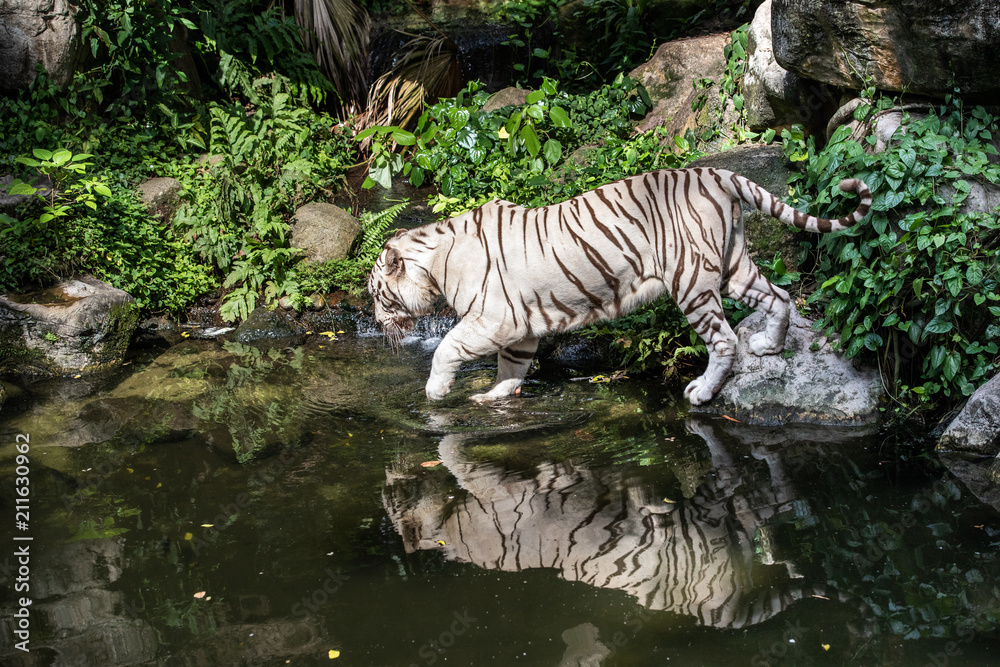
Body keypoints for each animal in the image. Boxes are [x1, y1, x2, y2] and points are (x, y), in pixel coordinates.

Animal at [368, 170, 868, 404]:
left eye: (376, 295)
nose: (375, 322)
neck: (434, 260)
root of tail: (713, 173)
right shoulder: (520, 328)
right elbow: (511, 368)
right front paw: (493, 398)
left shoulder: (494, 319)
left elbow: (446, 347)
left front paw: (436, 393)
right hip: (732, 266)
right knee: (778, 295)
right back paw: (768, 344)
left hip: (690, 280)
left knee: (724, 340)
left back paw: (703, 392)